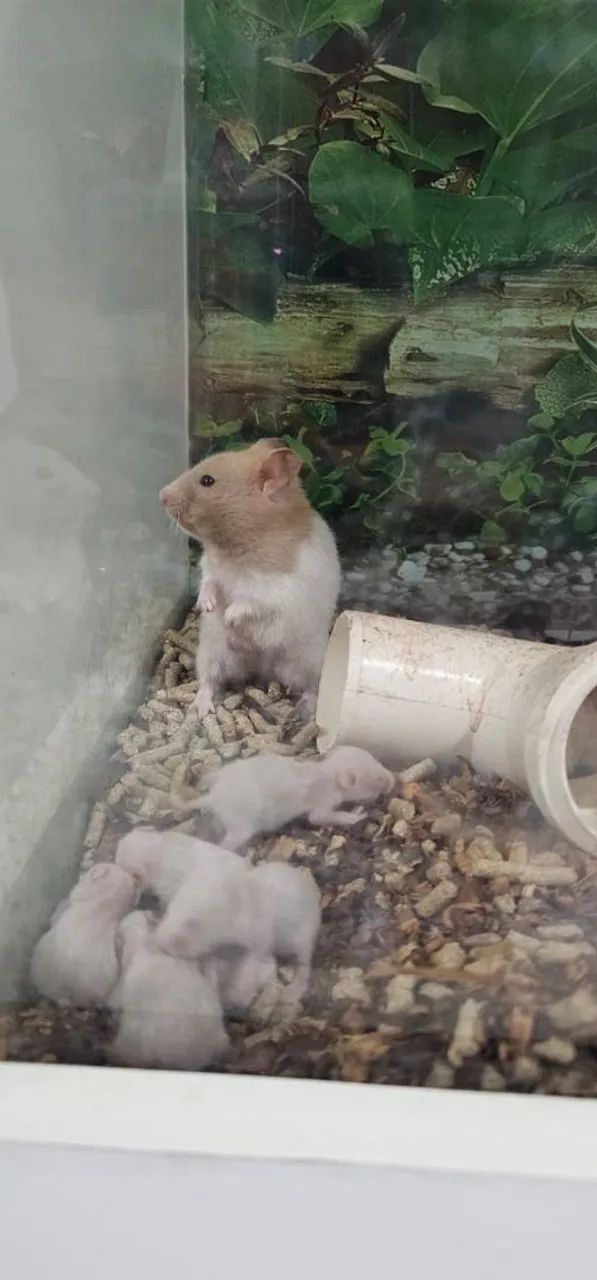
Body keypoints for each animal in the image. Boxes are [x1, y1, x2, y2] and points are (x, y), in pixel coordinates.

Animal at [157, 861, 321, 1007]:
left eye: (192, 922)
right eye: (167, 912)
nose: (161, 944)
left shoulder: (260, 931)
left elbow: (254, 958)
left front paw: (238, 994)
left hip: (302, 933)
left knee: (304, 960)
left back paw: (292, 991)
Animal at [159, 438, 341, 717]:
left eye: (207, 481)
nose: (161, 496)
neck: (235, 543)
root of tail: (263, 670)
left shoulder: (275, 590)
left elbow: (250, 602)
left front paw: (229, 616)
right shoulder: (210, 567)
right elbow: (208, 583)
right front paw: (206, 606)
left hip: (309, 660)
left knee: (310, 687)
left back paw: (305, 711)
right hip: (214, 652)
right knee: (209, 681)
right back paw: (199, 709)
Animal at [187, 745, 395, 849]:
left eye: (377, 760)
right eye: (378, 779)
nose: (393, 781)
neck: (327, 771)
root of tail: (215, 797)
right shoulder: (324, 798)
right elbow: (318, 817)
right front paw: (356, 815)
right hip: (241, 824)